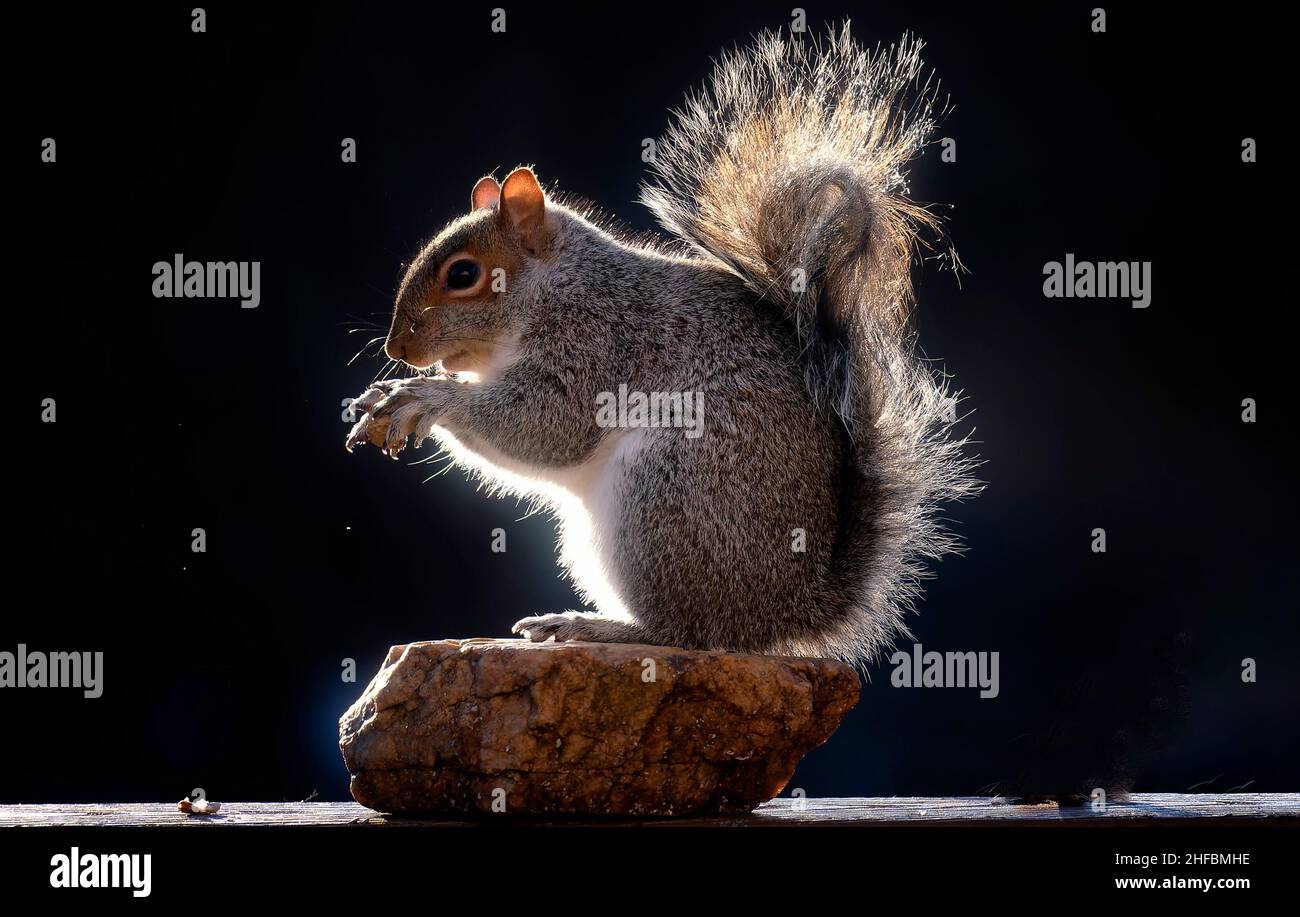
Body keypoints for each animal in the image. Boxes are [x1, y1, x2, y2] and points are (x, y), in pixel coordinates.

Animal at [345, 25, 980, 668]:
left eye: (463, 275)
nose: (398, 348)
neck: (556, 285)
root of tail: (788, 612)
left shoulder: (598, 342)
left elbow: (548, 426)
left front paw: (424, 397)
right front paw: (388, 394)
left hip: (663, 496)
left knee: (684, 632)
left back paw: (594, 626)